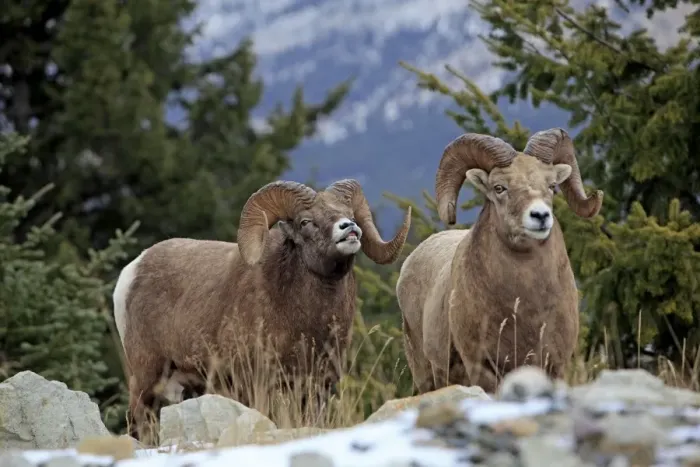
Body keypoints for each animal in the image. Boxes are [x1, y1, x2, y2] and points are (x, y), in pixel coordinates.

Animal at [113, 178, 411, 440]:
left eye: (349, 213)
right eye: (305, 222)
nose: (349, 228)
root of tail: (131, 272)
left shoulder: (317, 385)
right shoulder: (255, 382)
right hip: (147, 377)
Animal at [396, 128, 603, 394]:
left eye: (552, 186)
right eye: (499, 188)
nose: (540, 216)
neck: (524, 305)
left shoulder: (555, 365)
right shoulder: (483, 367)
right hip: (426, 375)